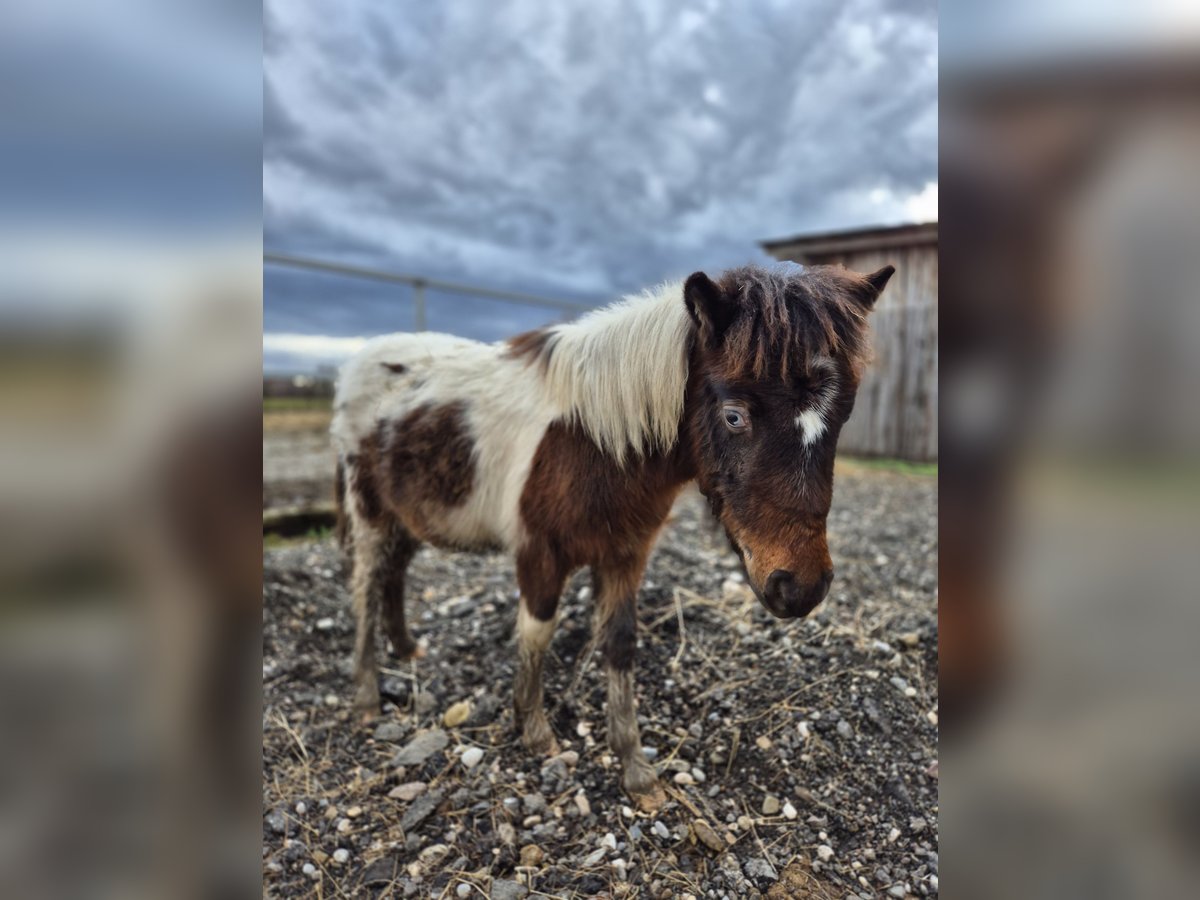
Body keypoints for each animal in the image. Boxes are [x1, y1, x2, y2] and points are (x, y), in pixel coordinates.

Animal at [328, 262, 892, 811]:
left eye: (843, 415)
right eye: (734, 415)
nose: (800, 587)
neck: (594, 442)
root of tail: (358, 365)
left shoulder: (625, 554)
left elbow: (620, 644)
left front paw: (635, 768)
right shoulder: (539, 555)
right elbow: (537, 633)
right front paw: (534, 730)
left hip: (408, 516)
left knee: (395, 575)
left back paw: (407, 649)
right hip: (370, 514)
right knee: (366, 588)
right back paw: (367, 697)